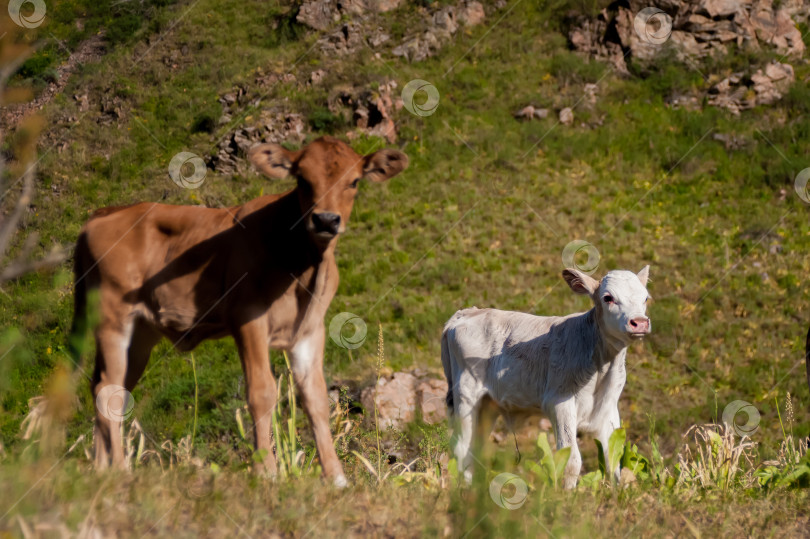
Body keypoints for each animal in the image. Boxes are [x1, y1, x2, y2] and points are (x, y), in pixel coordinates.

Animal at [71, 137, 404, 488]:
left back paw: (102, 468)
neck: (303, 266)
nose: (326, 220)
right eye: (302, 179)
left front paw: (336, 478)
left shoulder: (310, 329)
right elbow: (261, 391)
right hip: (112, 318)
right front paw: (267, 471)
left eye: (354, 182)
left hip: (141, 333)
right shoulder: (248, 318)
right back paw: (120, 469)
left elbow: (316, 399)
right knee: (107, 388)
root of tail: (106, 213)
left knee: (110, 388)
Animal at [438, 266, 648, 490]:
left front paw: (617, 492)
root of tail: (466, 313)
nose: (640, 322)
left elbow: (614, 459)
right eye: (608, 297)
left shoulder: (608, 409)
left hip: (487, 405)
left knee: (475, 448)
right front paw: (568, 495)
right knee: (461, 448)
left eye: (645, 298)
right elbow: (571, 460)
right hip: (466, 395)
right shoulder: (559, 402)